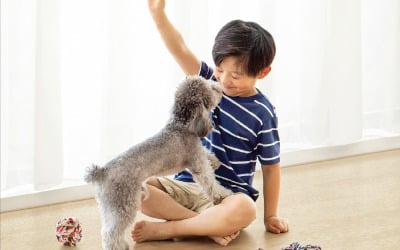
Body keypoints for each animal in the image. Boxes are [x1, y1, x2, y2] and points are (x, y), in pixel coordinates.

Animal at [85, 76, 234, 250]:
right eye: (210, 88)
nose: (219, 86)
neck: (182, 125)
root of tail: (101, 172)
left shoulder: (199, 153)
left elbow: (207, 154)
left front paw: (215, 161)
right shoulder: (197, 162)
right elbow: (210, 182)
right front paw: (223, 194)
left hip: (108, 205)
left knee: (107, 228)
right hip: (124, 204)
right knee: (110, 233)